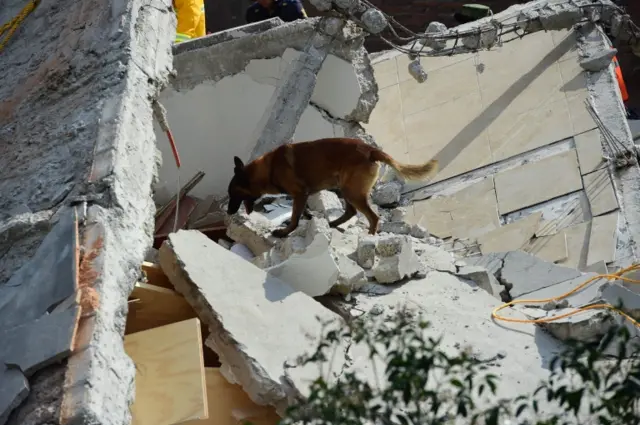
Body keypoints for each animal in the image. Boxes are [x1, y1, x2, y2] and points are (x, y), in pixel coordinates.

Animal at [226, 138, 440, 238]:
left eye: (232, 193)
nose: (227, 212)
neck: (267, 169)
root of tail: (370, 150)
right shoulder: (302, 196)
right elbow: (301, 213)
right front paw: (308, 221)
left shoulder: (299, 194)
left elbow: (294, 218)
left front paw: (285, 232)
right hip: (345, 189)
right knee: (351, 212)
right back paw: (332, 224)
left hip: (351, 192)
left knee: (373, 217)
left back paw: (369, 237)